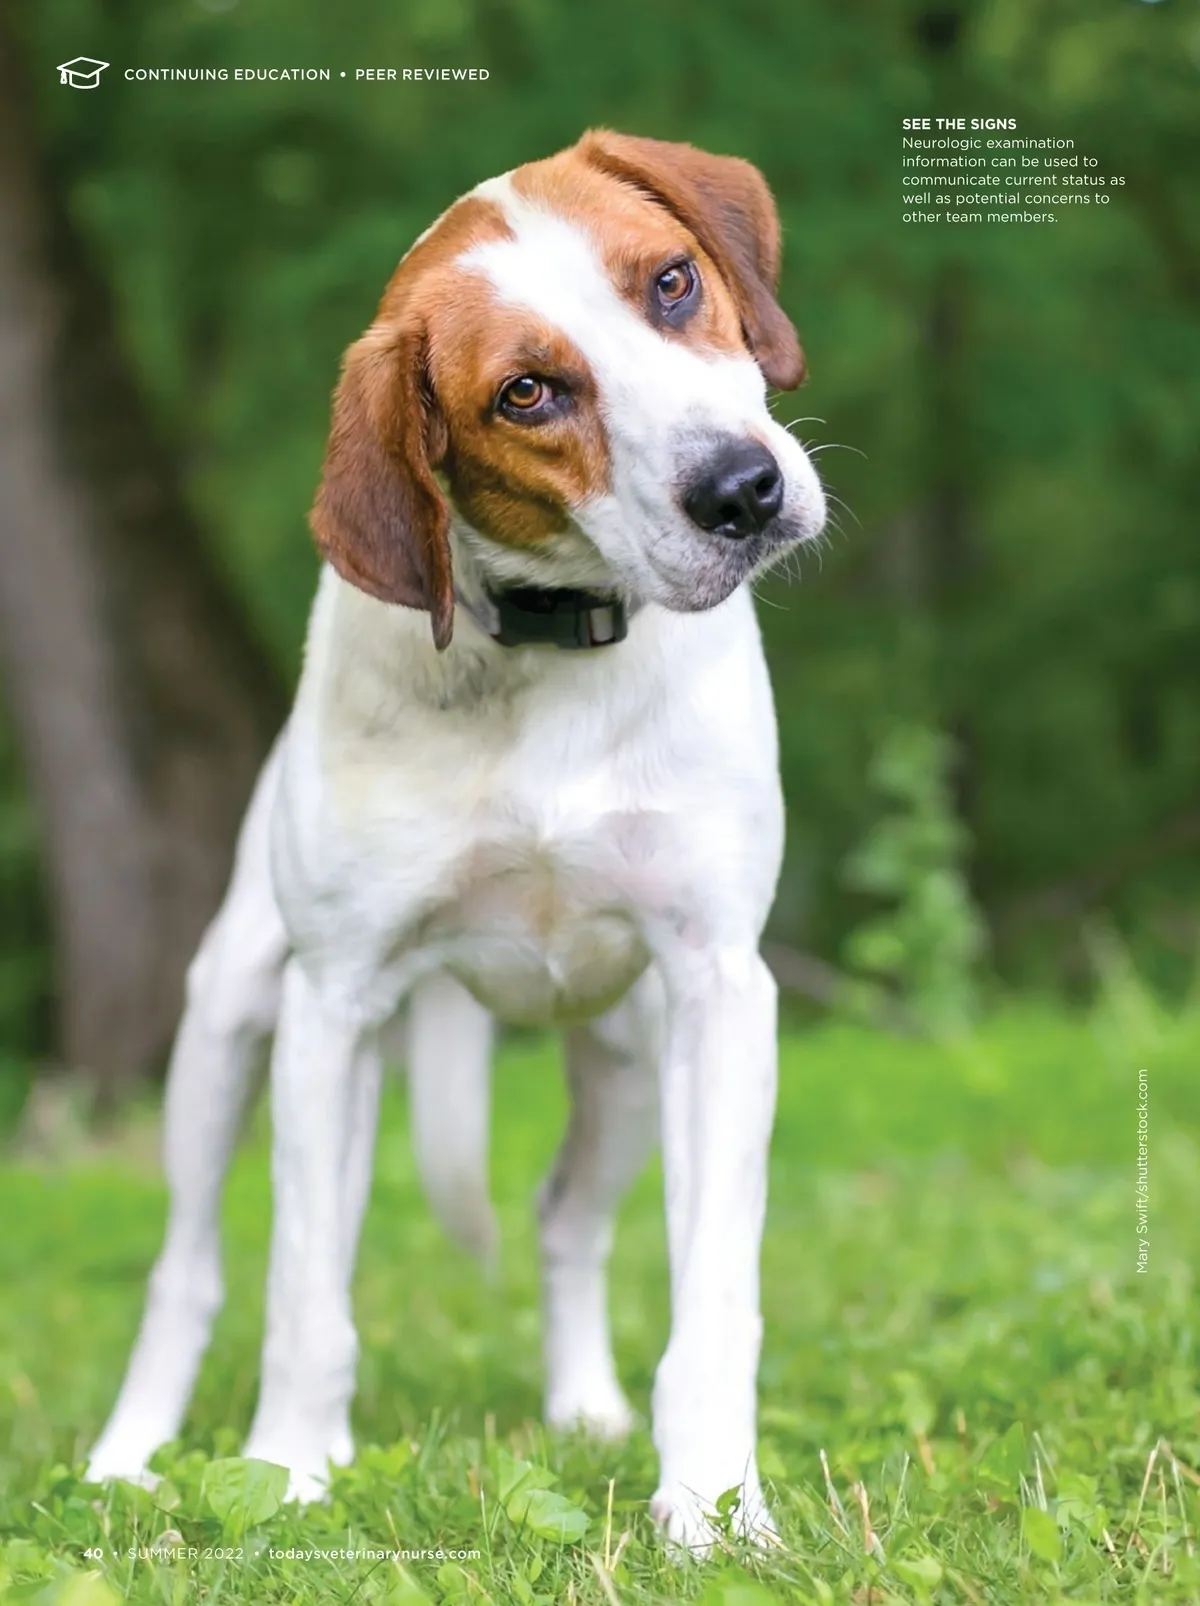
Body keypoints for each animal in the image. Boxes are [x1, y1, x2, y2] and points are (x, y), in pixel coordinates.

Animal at [86, 129, 826, 1548]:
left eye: (671, 282)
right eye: (527, 392)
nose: (743, 489)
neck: (549, 650)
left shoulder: (720, 992)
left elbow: (714, 1296)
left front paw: (714, 1504)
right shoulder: (331, 1007)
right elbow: (302, 1298)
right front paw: (289, 1478)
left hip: (627, 1057)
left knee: (564, 1220)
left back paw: (585, 1411)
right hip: (229, 1022)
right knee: (187, 1269)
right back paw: (125, 1456)